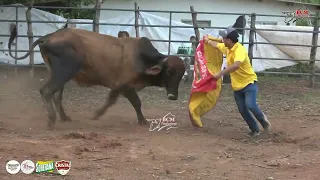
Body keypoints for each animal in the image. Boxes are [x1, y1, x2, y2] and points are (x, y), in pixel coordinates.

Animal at [7, 23, 185, 129]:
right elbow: (136, 102)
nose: (173, 96)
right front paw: (143, 121)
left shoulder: (117, 86)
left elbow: (110, 101)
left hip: (58, 74)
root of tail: (49, 37)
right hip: (63, 72)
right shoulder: (125, 85)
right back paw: (51, 120)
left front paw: (97, 114)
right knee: (46, 91)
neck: (143, 58)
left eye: (181, 75)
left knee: (56, 96)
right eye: (169, 72)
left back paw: (64, 117)